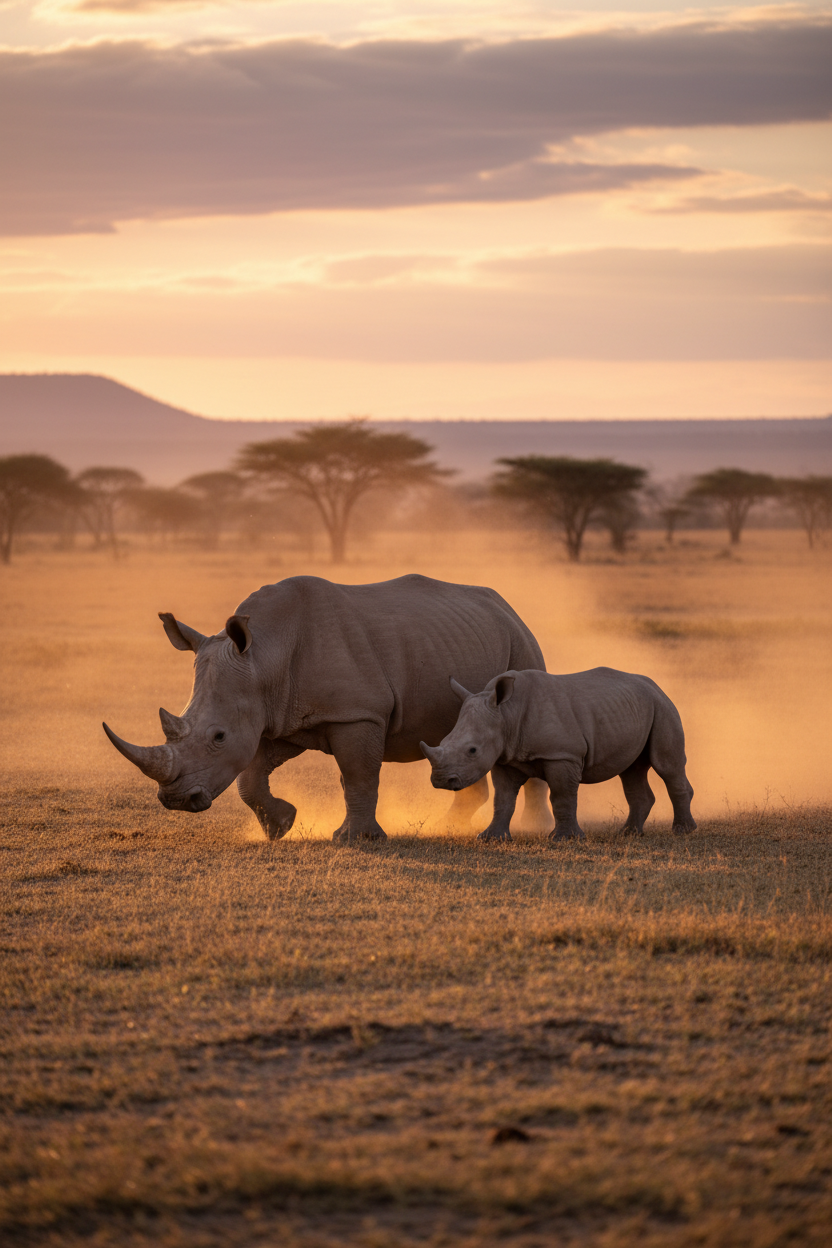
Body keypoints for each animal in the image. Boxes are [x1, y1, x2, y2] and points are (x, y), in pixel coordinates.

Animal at [103, 574, 552, 842]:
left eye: (218, 736)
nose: (176, 800)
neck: (264, 654)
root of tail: (505, 605)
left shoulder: (357, 713)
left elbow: (357, 775)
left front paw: (355, 840)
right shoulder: (279, 715)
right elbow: (251, 776)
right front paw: (281, 826)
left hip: (521, 641)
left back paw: (534, 829)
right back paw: (450, 826)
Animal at [421, 667, 696, 842]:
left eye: (472, 750)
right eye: (442, 741)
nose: (441, 780)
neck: (506, 714)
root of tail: (655, 685)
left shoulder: (563, 755)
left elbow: (562, 796)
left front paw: (565, 840)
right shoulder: (505, 757)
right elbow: (504, 799)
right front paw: (490, 838)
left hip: (662, 707)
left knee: (666, 766)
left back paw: (683, 831)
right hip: (637, 708)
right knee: (631, 770)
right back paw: (628, 833)